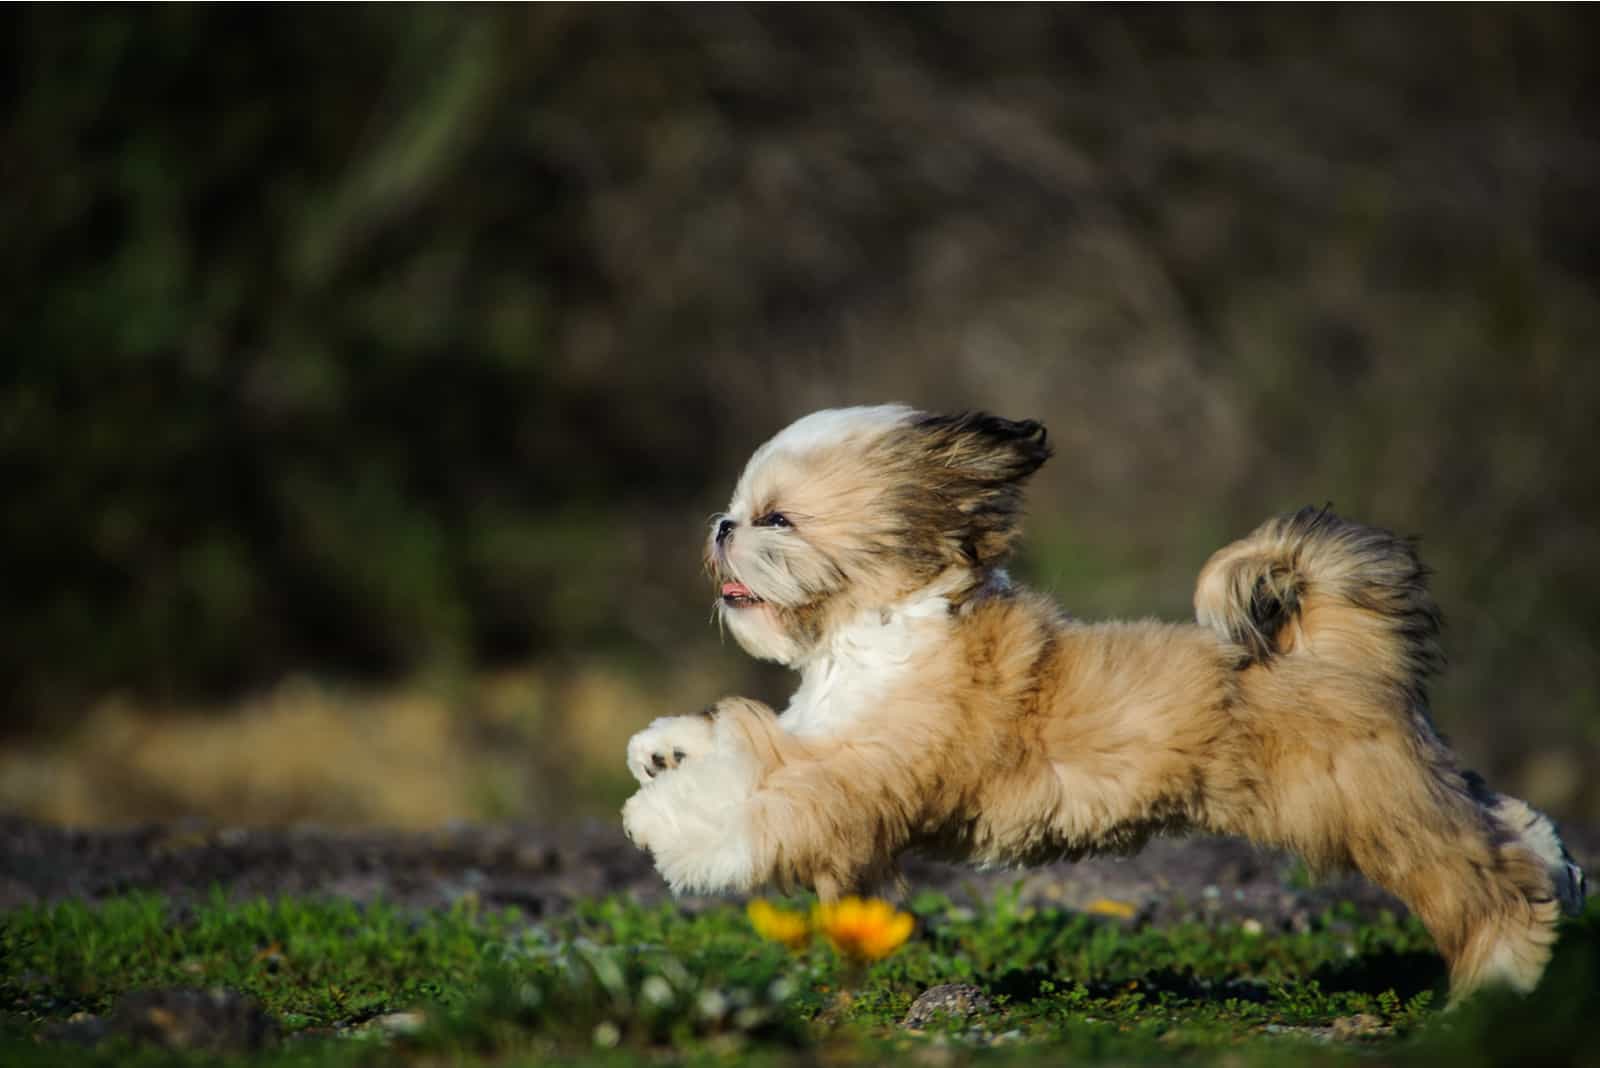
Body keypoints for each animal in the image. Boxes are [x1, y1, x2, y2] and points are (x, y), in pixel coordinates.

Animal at [617, 404, 1580, 997]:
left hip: (1368, 807)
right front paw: (663, 750)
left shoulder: (858, 778)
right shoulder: (820, 731)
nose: (723, 525)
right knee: (1501, 821)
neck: (868, 634)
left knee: (1484, 883)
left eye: (776, 520)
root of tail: (1341, 647)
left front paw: (666, 817)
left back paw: (1504, 975)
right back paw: (1561, 876)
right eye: (741, 510)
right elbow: (743, 741)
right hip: (1409, 784)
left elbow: (765, 792)